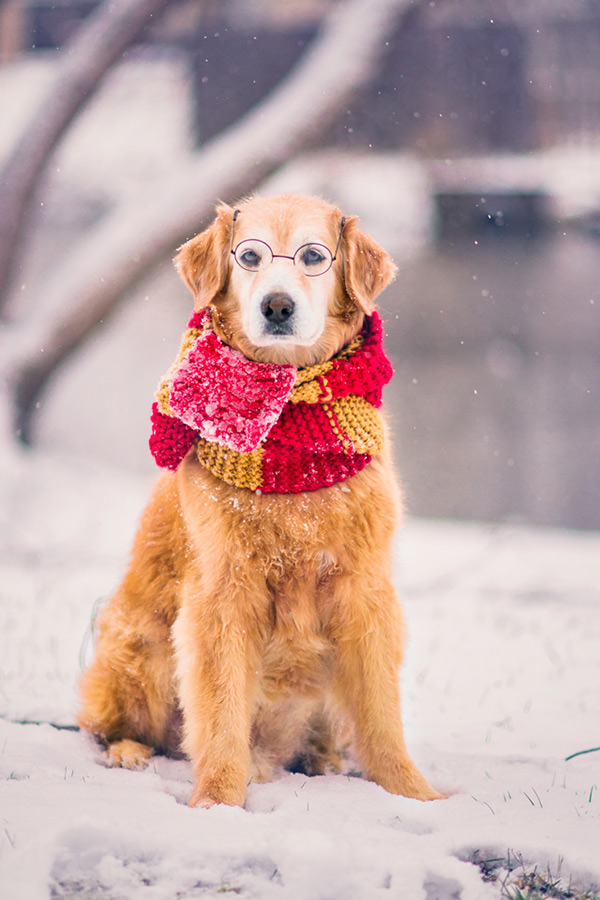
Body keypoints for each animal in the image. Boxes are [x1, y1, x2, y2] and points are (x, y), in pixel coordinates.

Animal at [78, 192, 440, 808]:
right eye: (249, 256)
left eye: (313, 256)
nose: (276, 305)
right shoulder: (221, 596)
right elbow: (220, 715)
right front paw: (218, 802)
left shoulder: (364, 591)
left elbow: (380, 716)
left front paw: (414, 793)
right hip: (141, 649)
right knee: (115, 727)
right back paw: (131, 752)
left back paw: (320, 759)